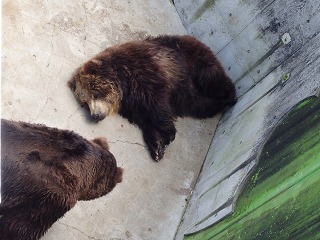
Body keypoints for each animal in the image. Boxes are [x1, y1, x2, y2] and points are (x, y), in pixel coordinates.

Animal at [68, 34, 238, 161]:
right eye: (84, 102)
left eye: (94, 94)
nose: (95, 115)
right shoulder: (132, 105)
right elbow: (146, 118)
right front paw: (157, 147)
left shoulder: (147, 76)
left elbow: (157, 107)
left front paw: (168, 134)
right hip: (188, 97)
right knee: (201, 106)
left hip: (193, 62)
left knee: (212, 78)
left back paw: (230, 97)